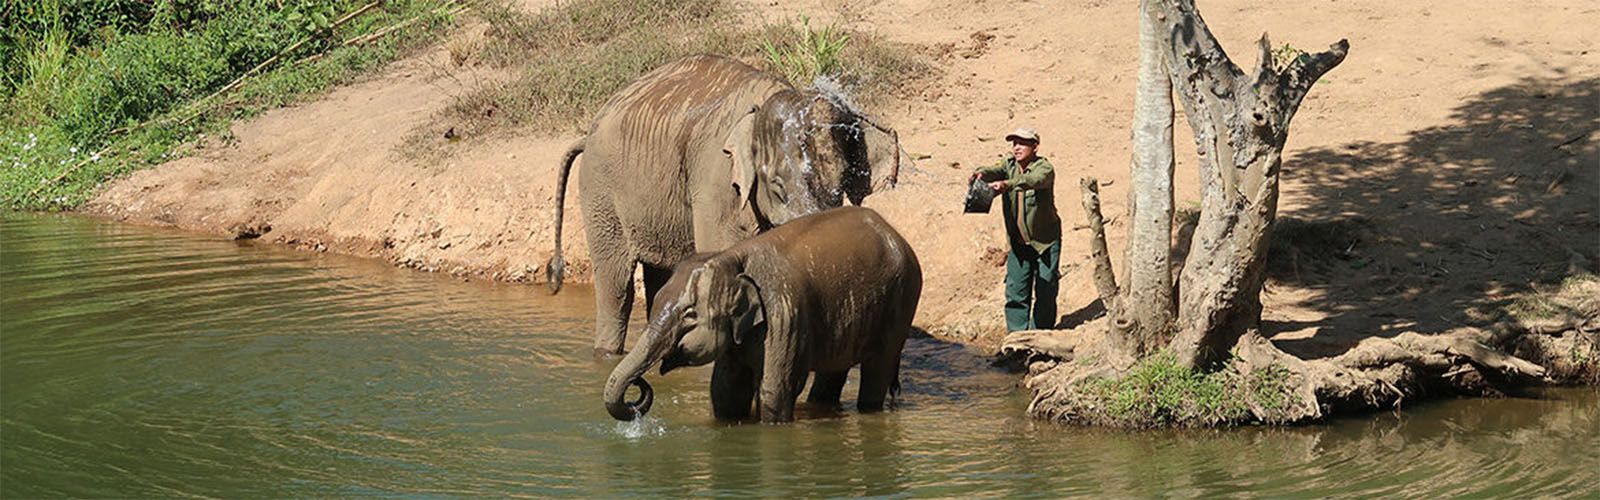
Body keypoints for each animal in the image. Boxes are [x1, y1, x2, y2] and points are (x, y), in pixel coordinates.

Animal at [550, 54, 902, 354]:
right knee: (617, 284)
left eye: (842, 181)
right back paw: (607, 354)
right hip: (601, 190)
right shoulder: (716, 180)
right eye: (777, 186)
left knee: (659, 280)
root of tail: (586, 134)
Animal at [601, 206, 928, 423]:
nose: (639, 385)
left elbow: (775, 391)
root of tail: (895, 234)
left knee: (877, 369)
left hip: (902, 301)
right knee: (833, 372)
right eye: (656, 304)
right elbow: (724, 393)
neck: (732, 257)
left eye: (689, 316)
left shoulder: (785, 316)